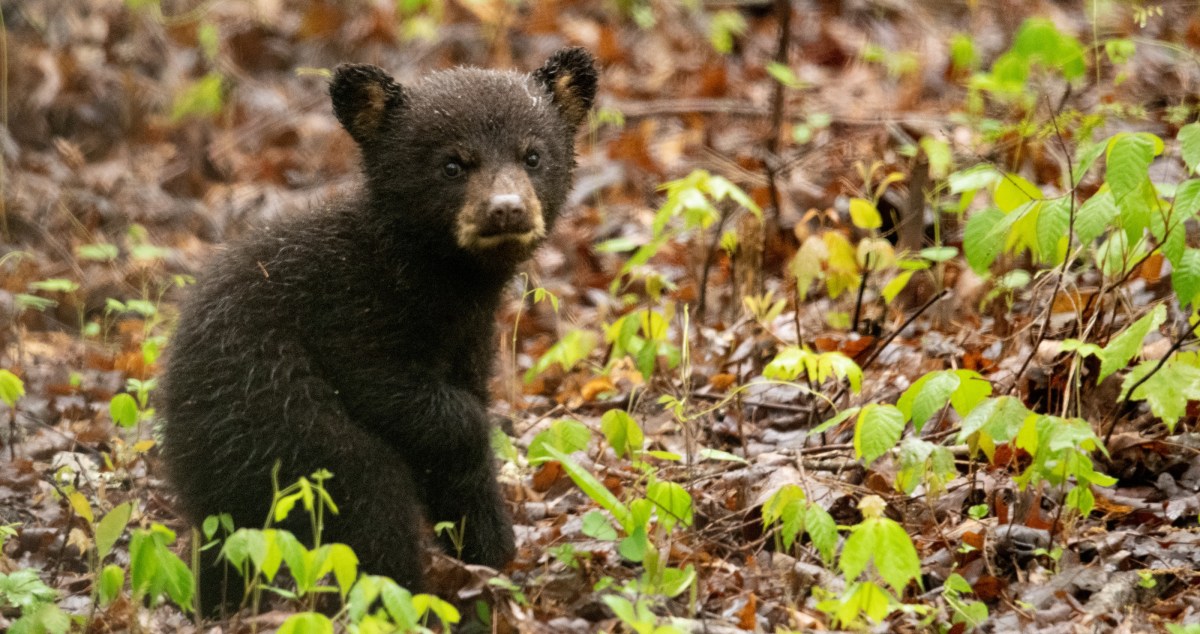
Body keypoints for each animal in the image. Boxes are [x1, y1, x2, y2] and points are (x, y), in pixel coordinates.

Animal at [159, 47, 597, 614]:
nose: (506, 210)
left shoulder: (468, 338)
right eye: (453, 163)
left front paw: (491, 554)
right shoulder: (348, 312)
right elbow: (408, 399)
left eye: (533, 156)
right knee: (367, 495)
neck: (433, 276)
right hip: (276, 424)